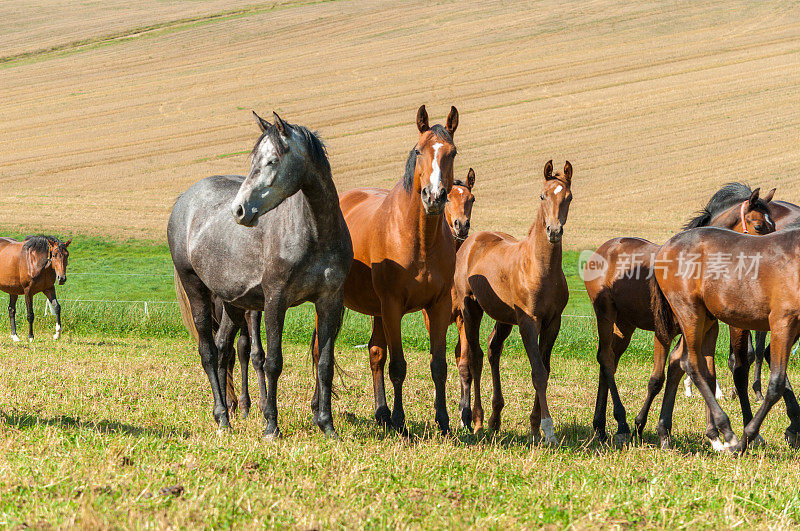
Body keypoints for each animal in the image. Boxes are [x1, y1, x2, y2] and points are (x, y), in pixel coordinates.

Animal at [170, 110, 352, 438]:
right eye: (254, 159)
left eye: (272, 161)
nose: (239, 210)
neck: (316, 234)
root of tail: (183, 201)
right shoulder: (275, 300)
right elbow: (273, 362)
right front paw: (271, 425)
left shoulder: (330, 301)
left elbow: (325, 363)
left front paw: (327, 425)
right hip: (196, 290)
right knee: (208, 352)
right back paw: (223, 417)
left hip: (232, 303)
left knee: (224, 349)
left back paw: (227, 413)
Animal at [328, 105, 460, 436]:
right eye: (418, 151)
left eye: (452, 152)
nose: (434, 197)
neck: (420, 239)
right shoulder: (392, 306)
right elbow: (398, 366)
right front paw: (401, 421)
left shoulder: (438, 306)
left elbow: (438, 366)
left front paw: (443, 421)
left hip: (377, 311)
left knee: (375, 353)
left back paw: (381, 413)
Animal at [454, 160, 572, 442]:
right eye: (542, 196)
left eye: (569, 197)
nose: (554, 231)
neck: (539, 268)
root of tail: (470, 241)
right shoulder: (529, 322)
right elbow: (538, 372)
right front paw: (548, 429)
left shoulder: (553, 322)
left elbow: (545, 368)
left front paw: (535, 426)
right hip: (470, 309)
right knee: (475, 356)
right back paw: (477, 420)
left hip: (504, 318)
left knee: (493, 349)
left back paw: (495, 418)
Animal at [580, 184, 776, 444]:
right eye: (759, 226)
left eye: (774, 225)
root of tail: (604, 248)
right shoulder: (665, 332)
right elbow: (660, 378)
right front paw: (642, 425)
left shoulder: (707, 329)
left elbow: (703, 371)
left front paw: (712, 432)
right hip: (605, 314)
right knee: (606, 359)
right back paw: (620, 422)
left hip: (624, 326)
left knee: (608, 362)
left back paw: (600, 426)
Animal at [652, 220, 800, 454]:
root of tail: (666, 247)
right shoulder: (783, 322)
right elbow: (776, 384)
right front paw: (746, 439)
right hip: (689, 312)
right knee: (690, 364)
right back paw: (727, 432)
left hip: (705, 318)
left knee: (676, 360)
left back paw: (665, 433)